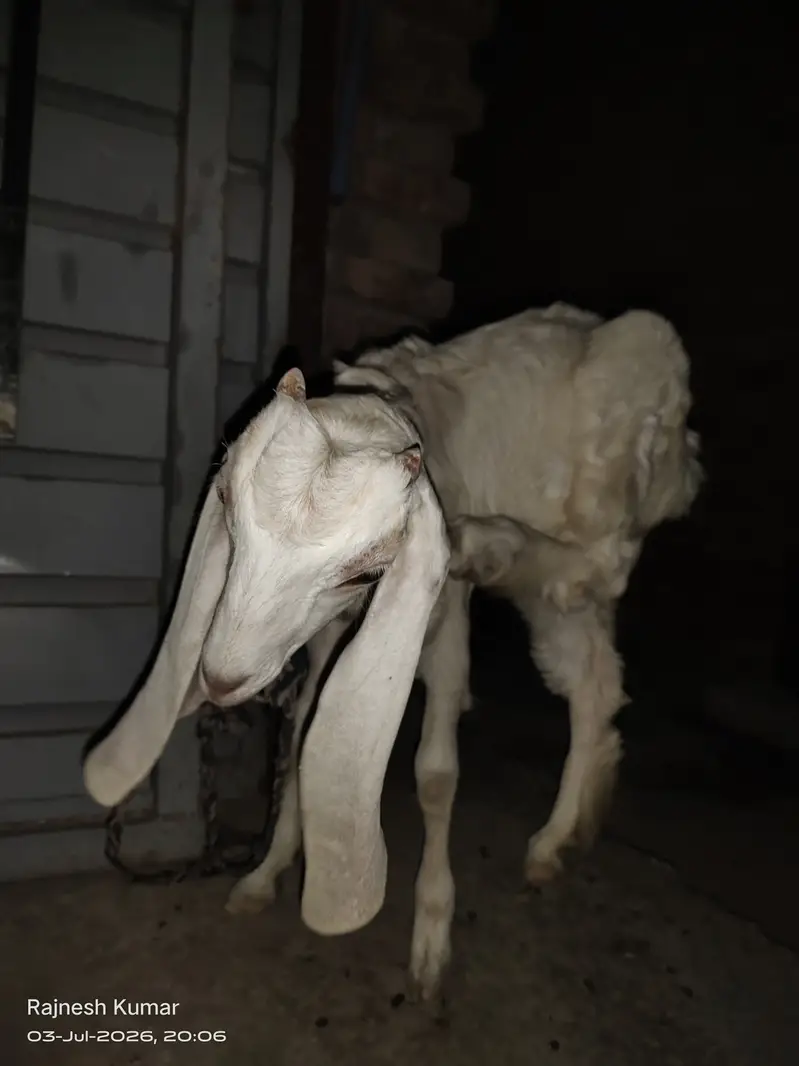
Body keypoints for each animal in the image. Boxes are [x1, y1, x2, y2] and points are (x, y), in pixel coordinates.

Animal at [83, 303, 703, 1002]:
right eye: (226, 510)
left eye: (366, 570)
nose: (219, 679)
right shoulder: (326, 634)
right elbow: (302, 736)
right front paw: (264, 875)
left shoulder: (445, 611)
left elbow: (435, 773)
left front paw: (431, 933)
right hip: (562, 605)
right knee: (594, 679)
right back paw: (556, 841)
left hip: (613, 484)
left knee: (594, 569)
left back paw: (490, 543)